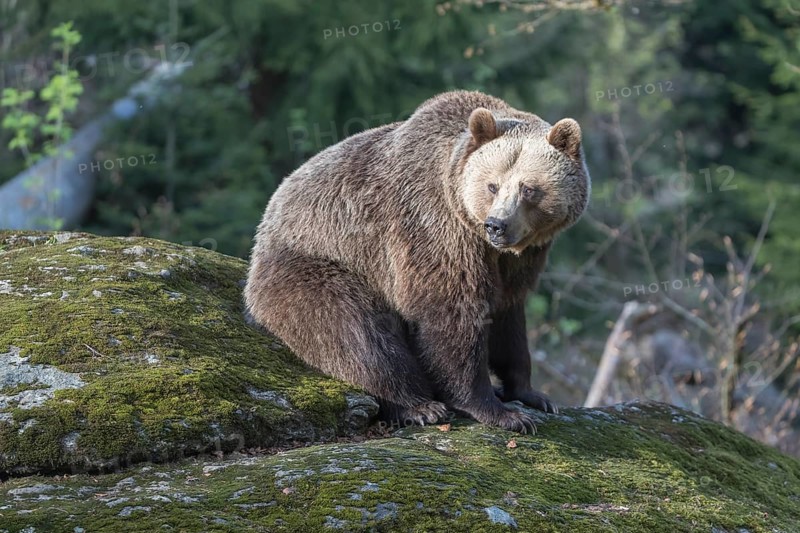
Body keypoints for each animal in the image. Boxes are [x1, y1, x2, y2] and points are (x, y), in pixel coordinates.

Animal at [244, 90, 590, 433]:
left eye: (529, 188)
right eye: (492, 185)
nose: (496, 225)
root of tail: (265, 222)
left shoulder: (518, 260)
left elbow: (508, 317)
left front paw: (532, 395)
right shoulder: (435, 227)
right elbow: (451, 311)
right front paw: (499, 411)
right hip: (313, 265)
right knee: (355, 331)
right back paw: (419, 406)